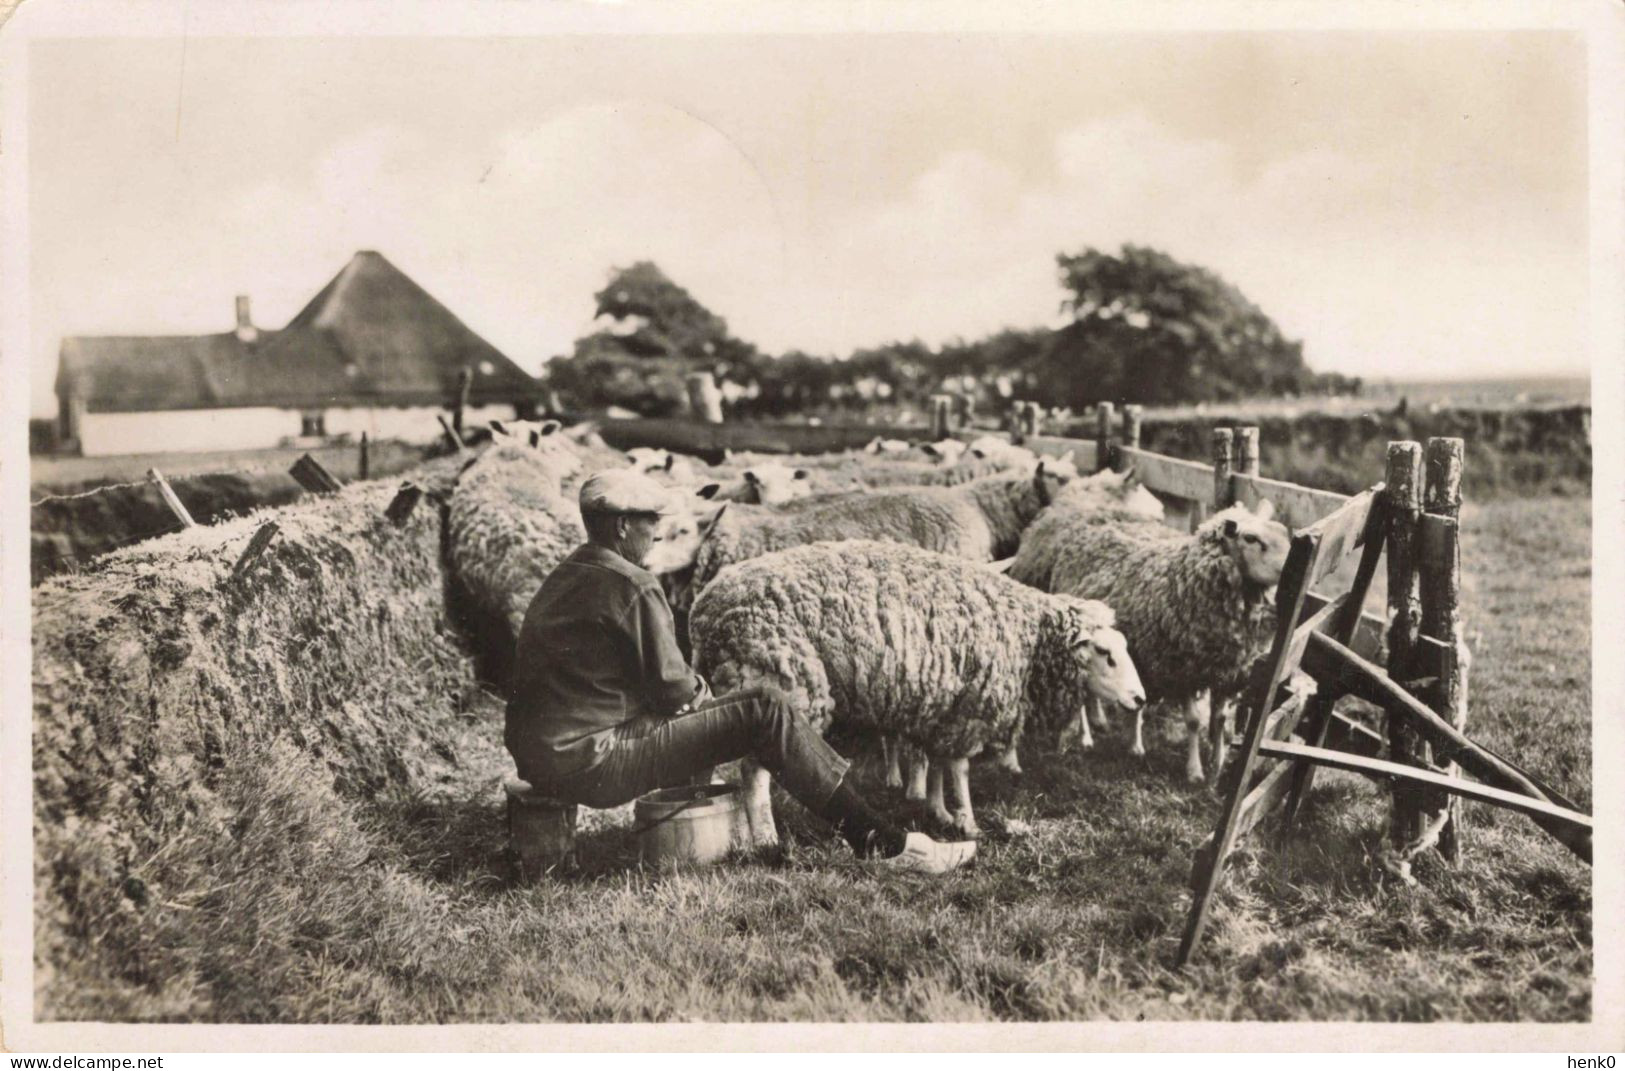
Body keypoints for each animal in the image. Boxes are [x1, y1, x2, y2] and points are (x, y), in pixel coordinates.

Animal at [692, 546, 1150, 838]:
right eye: (1105, 653)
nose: (1140, 698)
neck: (1028, 635)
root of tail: (705, 608)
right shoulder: (971, 706)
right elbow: (959, 768)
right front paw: (967, 821)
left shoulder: (944, 704)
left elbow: (937, 762)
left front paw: (938, 811)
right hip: (781, 679)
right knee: (755, 774)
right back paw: (766, 839)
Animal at [1020, 497, 1287, 783]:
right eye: (1251, 538)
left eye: (1284, 533)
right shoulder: (1181, 669)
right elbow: (1193, 721)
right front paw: (1194, 771)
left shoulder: (1225, 671)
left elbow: (1220, 720)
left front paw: (1218, 765)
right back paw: (1087, 737)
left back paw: (1103, 722)